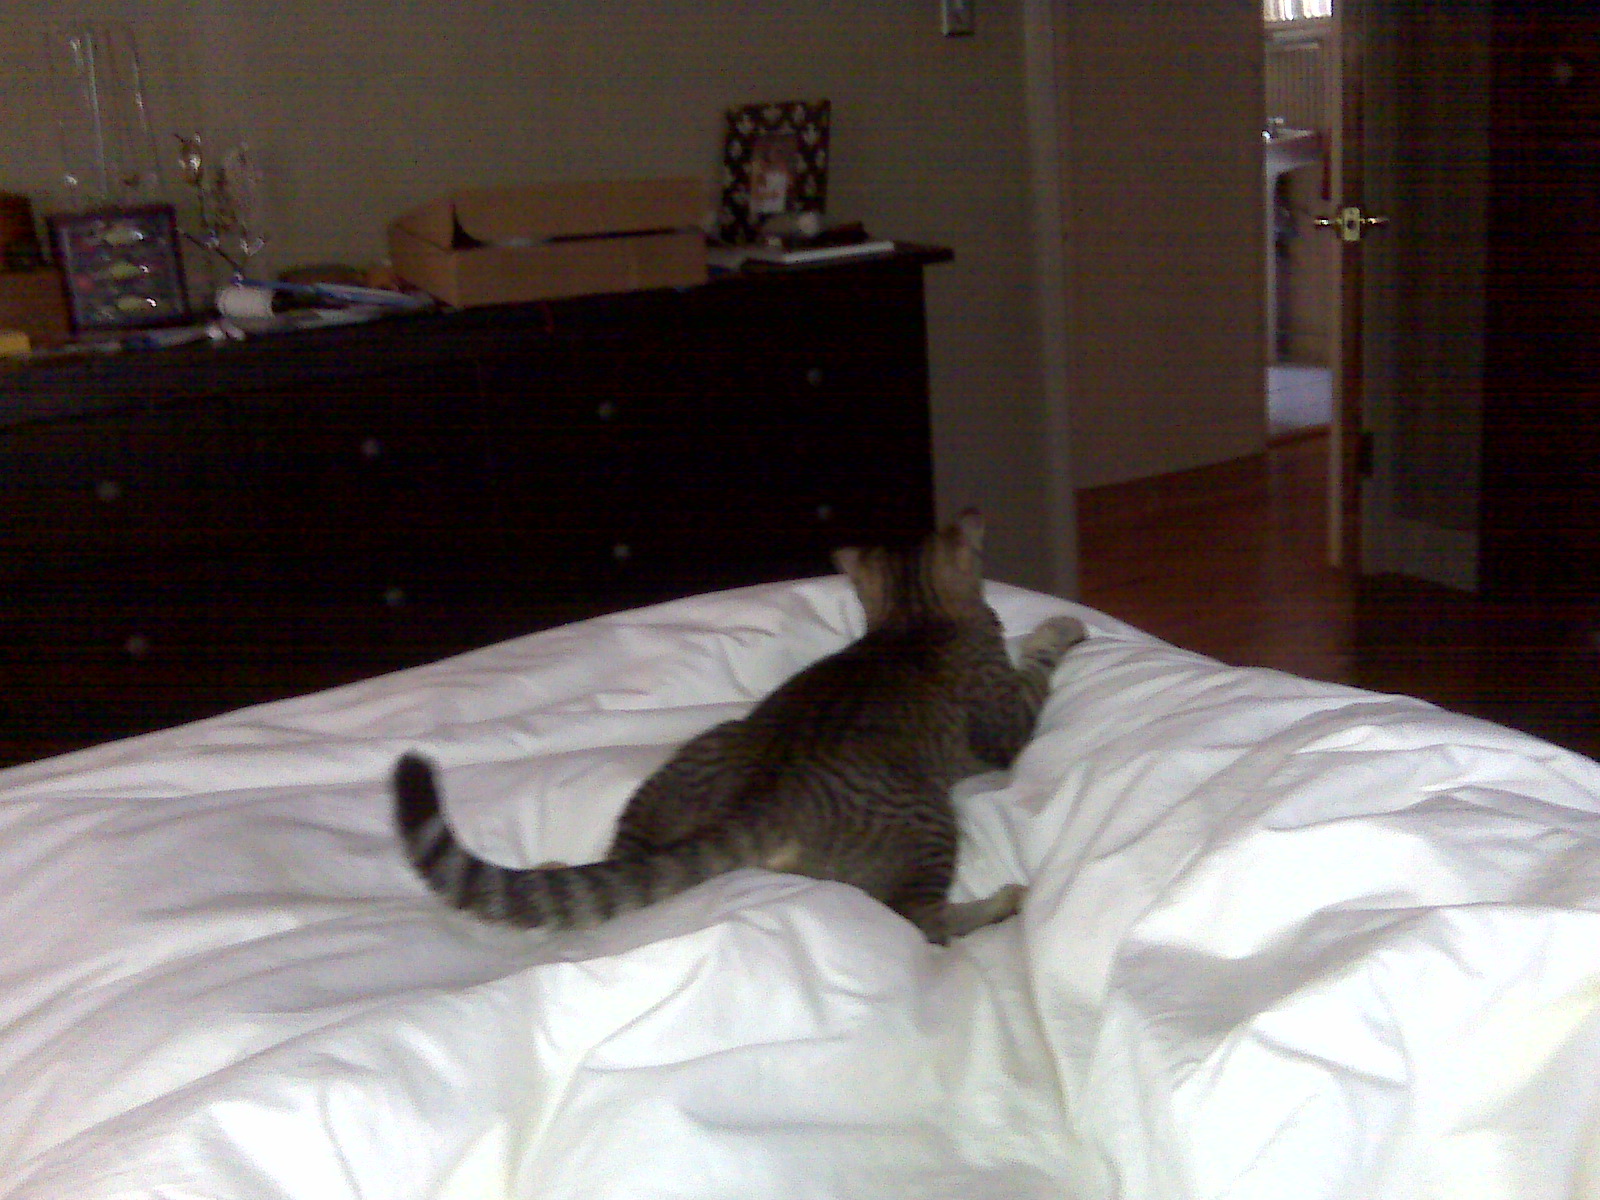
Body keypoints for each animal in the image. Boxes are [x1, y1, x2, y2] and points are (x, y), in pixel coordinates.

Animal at [393, 509, 1086, 944]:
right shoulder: (1006, 724)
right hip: (928, 816)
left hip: (700, 753)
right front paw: (1059, 627)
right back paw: (1001, 904)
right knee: (922, 921)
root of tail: (753, 803)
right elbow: (1037, 667)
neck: (914, 617)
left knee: (625, 857)